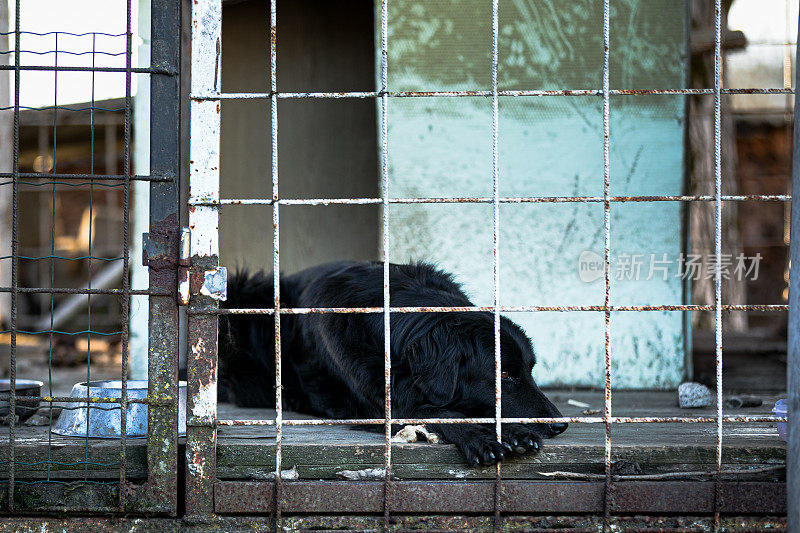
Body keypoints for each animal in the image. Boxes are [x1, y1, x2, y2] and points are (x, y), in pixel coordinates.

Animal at [219, 260, 568, 466]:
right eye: (505, 374)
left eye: (530, 371)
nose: (561, 424)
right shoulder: (386, 405)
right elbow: (438, 411)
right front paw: (481, 438)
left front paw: (515, 432)